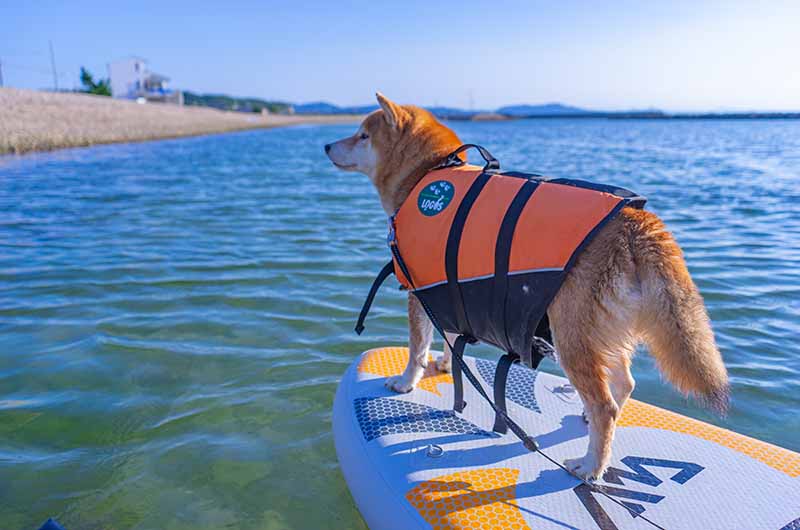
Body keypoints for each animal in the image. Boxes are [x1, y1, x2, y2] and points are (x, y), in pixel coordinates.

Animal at [322, 93, 728, 480]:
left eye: (363, 135)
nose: (325, 145)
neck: (429, 172)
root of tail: (636, 221)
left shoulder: (419, 291)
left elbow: (416, 348)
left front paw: (407, 382)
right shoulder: (446, 289)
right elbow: (450, 339)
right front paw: (445, 363)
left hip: (571, 337)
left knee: (605, 406)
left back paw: (590, 467)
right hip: (603, 331)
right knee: (624, 385)